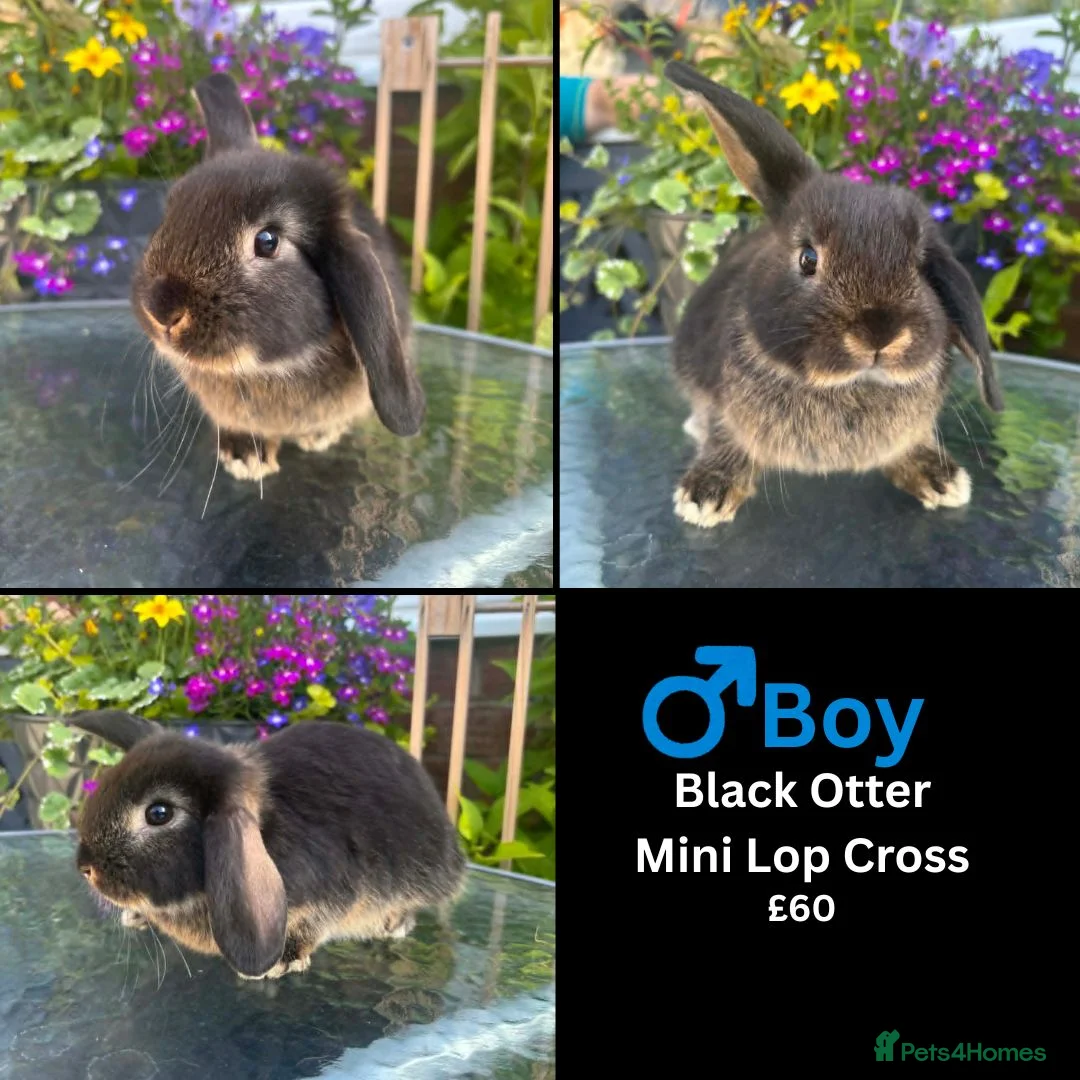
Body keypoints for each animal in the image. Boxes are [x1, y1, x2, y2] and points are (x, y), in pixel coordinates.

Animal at [71, 710, 465, 979]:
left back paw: (392, 924)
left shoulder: (335, 887)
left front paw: (282, 962)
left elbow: (314, 923)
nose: (85, 868)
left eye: (159, 813)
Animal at [131, 73, 425, 483]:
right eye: (170, 214)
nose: (161, 309)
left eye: (267, 241)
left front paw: (319, 436)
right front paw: (245, 455)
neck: (270, 371)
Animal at [662, 61, 1004, 527]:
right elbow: (724, 436)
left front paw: (941, 480)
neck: (849, 387)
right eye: (808, 258)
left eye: (920, 265)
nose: (879, 333)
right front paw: (704, 496)